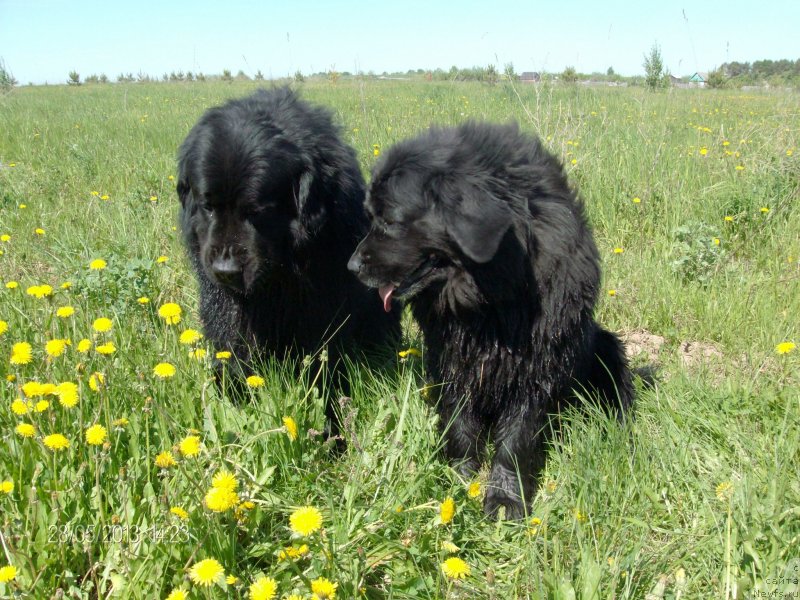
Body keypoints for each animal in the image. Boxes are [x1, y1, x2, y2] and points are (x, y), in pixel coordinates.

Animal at [176, 86, 400, 432]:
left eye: (257, 210)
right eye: (208, 206)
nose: (225, 270)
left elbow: (325, 360)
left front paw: (331, 422)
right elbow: (233, 340)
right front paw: (233, 396)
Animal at [348, 120, 632, 516]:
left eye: (390, 220)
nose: (351, 266)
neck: (496, 297)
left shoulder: (537, 369)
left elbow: (516, 441)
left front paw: (504, 497)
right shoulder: (453, 360)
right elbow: (460, 425)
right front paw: (458, 479)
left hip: (606, 345)